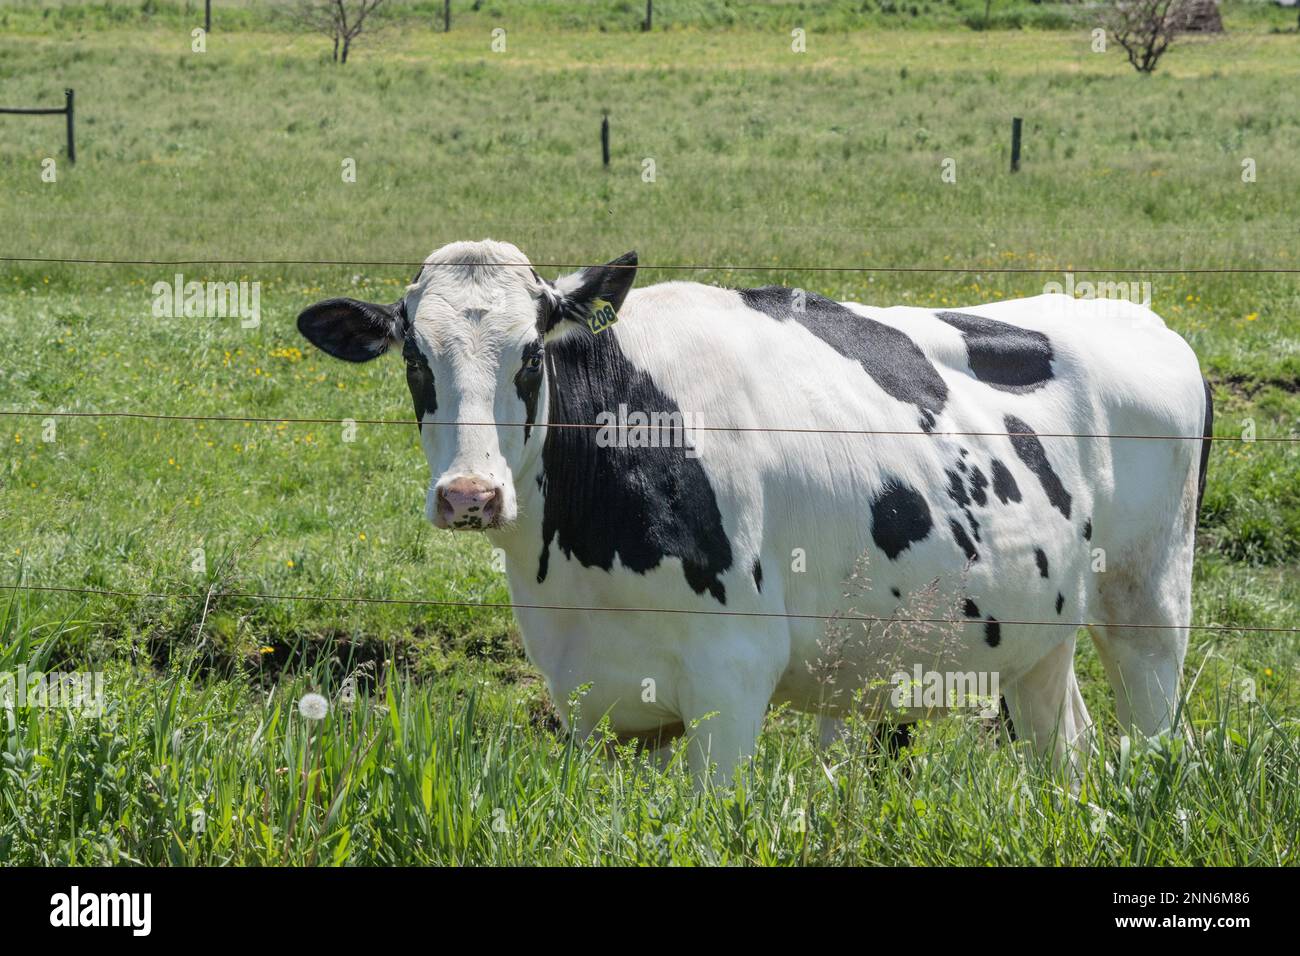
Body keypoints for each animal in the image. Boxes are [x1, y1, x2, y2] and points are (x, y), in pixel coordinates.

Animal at [297, 239, 1212, 783]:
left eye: (530, 355)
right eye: (415, 358)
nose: (470, 496)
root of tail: (1132, 315)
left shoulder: (731, 679)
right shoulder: (591, 699)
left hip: (1149, 603)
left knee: (1153, 728)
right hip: (1038, 628)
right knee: (1067, 750)